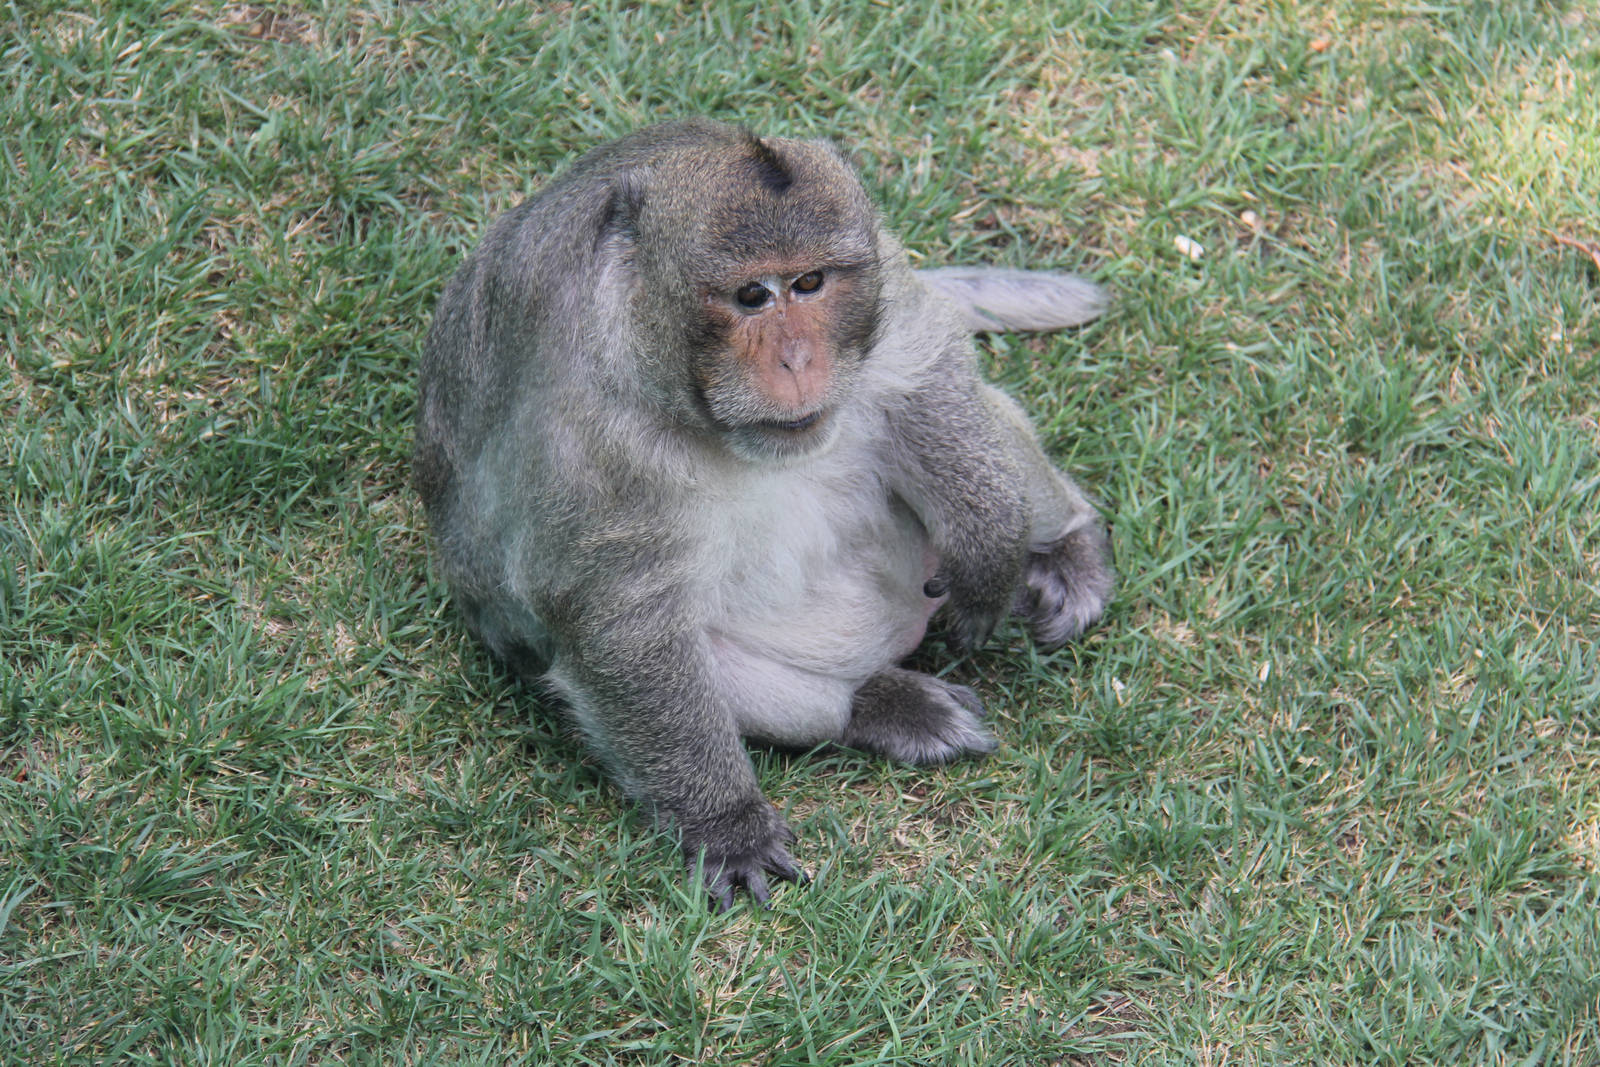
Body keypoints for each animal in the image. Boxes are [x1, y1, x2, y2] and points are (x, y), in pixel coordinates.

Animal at [414, 118, 1113, 910]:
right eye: (753, 296)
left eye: (810, 283)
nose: (798, 358)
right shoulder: (585, 430)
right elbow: (621, 620)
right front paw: (727, 825)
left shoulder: (881, 266)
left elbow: (923, 364)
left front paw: (990, 543)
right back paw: (880, 705)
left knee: (980, 414)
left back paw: (1066, 546)